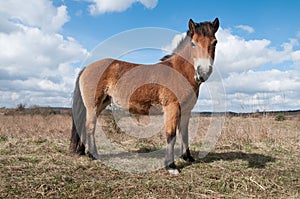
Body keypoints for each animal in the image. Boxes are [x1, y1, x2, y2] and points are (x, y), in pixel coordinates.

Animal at [70, 18, 220, 174]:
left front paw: (188, 158)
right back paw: (94, 155)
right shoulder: (172, 108)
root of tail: (87, 68)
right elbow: (171, 135)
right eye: (193, 43)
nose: (203, 73)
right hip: (93, 105)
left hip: (101, 104)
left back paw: (85, 152)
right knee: (90, 126)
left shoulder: (186, 111)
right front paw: (171, 166)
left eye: (214, 42)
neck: (179, 72)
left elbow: (184, 133)